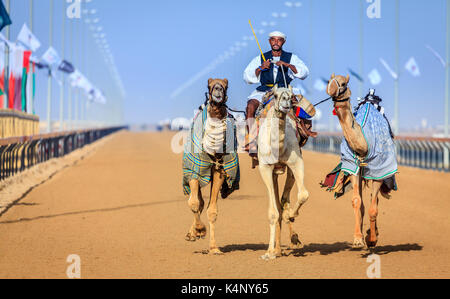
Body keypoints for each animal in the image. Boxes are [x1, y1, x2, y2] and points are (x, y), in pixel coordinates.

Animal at [256, 85, 310, 260]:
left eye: (292, 96)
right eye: (275, 95)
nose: (286, 102)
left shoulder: (296, 162)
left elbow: (303, 194)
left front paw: (290, 215)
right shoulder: (265, 167)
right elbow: (273, 213)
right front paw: (268, 253)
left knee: (283, 200)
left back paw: (287, 243)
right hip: (272, 172)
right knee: (277, 205)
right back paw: (275, 250)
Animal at [326, 74, 392, 250]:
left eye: (343, 83)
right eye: (329, 81)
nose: (330, 89)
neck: (364, 146)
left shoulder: (379, 170)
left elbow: (373, 208)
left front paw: (372, 240)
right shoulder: (353, 167)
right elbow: (357, 202)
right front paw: (357, 239)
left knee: (375, 202)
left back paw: (373, 235)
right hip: (362, 173)